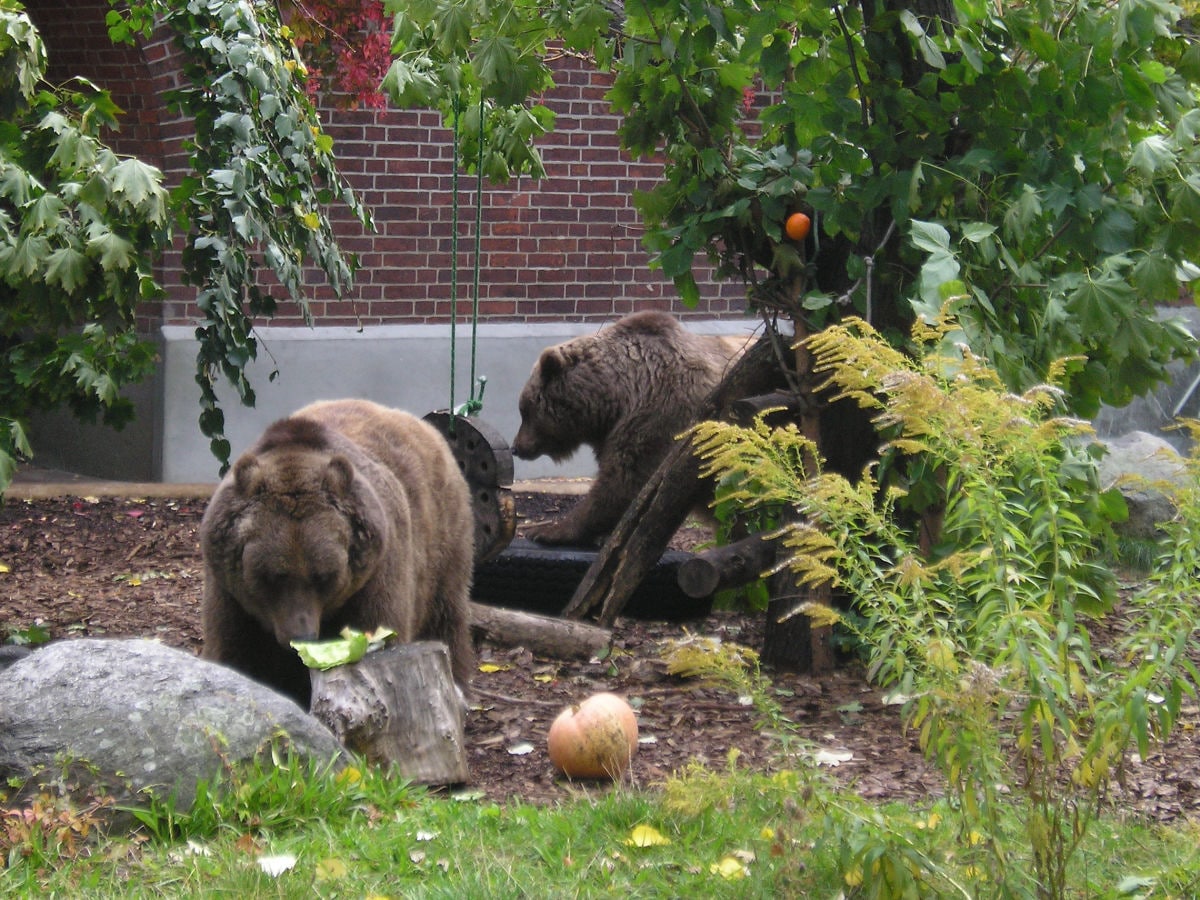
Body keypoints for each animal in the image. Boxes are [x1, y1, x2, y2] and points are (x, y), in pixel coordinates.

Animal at [199, 398, 475, 710]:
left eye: (323, 576)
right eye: (272, 576)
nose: (301, 635)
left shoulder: (375, 576)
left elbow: (380, 630)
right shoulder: (230, 595)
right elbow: (234, 652)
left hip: (443, 538)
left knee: (446, 612)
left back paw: (459, 688)